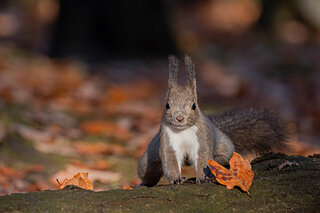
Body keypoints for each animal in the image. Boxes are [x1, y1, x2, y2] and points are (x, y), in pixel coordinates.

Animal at [138, 55, 288, 186]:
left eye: (194, 105)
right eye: (167, 105)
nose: (179, 118)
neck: (183, 131)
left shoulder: (202, 138)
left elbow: (203, 158)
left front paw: (202, 178)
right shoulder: (167, 141)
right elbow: (170, 161)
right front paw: (177, 179)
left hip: (224, 144)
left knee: (225, 156)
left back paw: (219, 161)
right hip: (148, 160)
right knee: (147, 173)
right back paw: (142, 184)